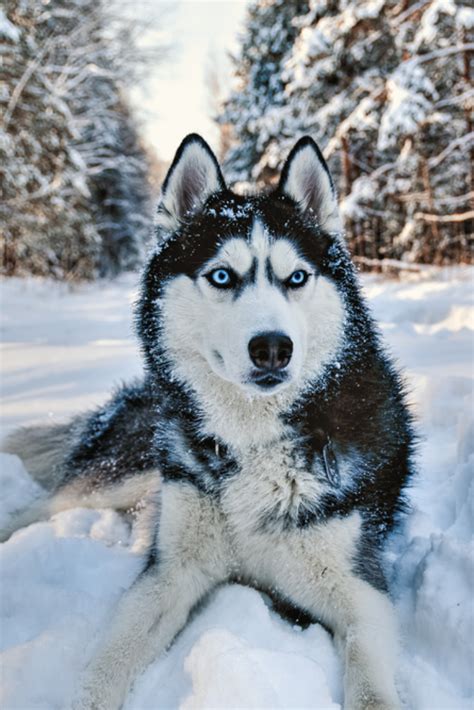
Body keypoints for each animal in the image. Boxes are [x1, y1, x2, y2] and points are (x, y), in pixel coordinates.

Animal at [1, 135, 412, 710]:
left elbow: (373, 687)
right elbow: (105, 666)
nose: (272, 347)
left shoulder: (360, 590)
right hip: (127, 471)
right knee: (41, 507)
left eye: (297, 278)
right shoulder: (169, 573)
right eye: (222, 276)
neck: (255, 441)